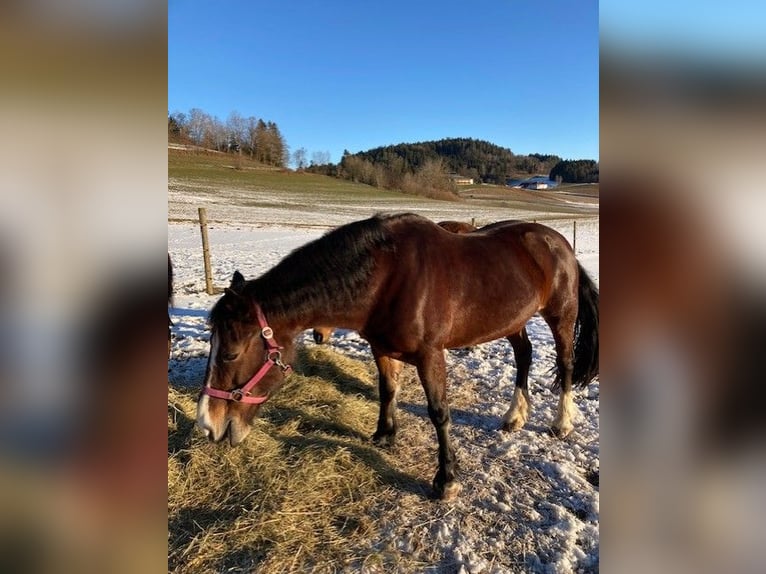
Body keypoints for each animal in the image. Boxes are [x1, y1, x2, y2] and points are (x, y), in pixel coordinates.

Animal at [196, 214, 600, 502]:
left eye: (230, 353)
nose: (207, 425)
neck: (387, 276)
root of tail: (558, 243)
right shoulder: (381, 348)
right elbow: (387, 390)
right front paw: (384, 434)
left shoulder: (430, 355)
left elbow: (439, 413)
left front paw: (446, 480)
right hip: (513, 319)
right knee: (524, 355)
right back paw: (515, 415)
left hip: (561, 315)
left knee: (564, 363)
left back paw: (561, 422)